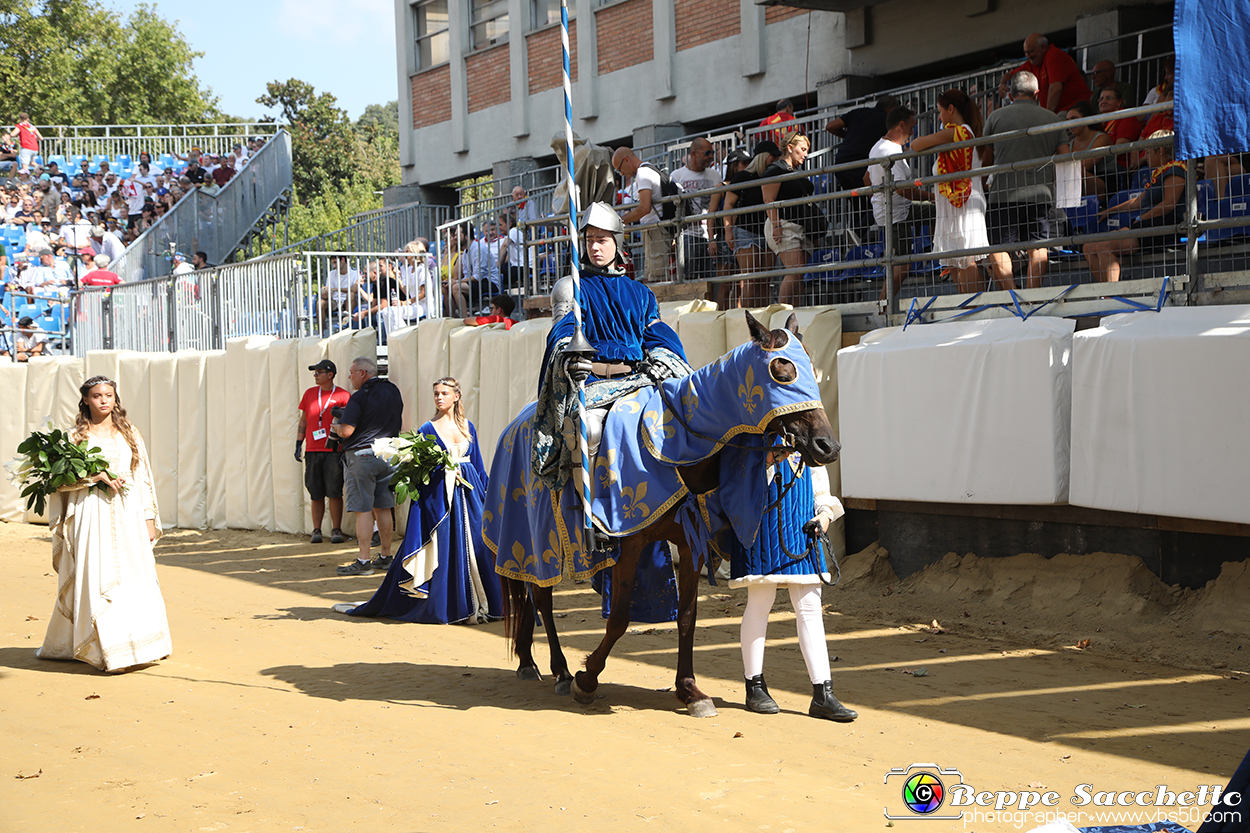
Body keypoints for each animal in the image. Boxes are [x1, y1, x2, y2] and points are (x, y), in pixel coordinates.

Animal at [482, 307, 845, 715]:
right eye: (782, 371)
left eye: (813, 368)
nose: (827, 446)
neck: (678, 448)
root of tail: (514, 425)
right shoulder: (629, 542)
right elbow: (619, 618)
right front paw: (587, 678)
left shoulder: (690, 545)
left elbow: (687, 617)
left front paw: (690, 690)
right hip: (532, 534)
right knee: (541, 596)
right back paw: (558, 670)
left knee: (532, 594)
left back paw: (530, 661)